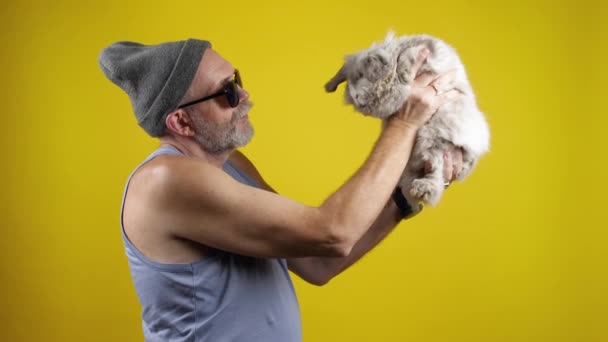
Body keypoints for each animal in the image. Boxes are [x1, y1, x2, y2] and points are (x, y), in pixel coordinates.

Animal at [326, 32, 492, 210]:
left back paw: (423, 188)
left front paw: (405, 73)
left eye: (361, 75)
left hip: (433, 140)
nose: (356, 98)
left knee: (436, 171)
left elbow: (408, 57)